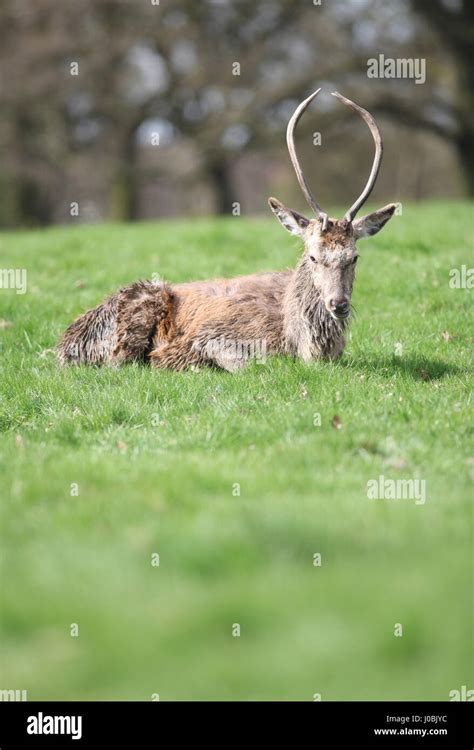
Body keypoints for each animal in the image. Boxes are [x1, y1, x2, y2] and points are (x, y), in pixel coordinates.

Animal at [56, 91, 396, 374]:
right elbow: (248, 365)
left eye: (354, 257)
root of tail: (61, 344)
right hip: (138, 309)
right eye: (313, 256)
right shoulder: (212, 336)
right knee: (118, 364)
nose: (339, 304)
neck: (300, 345)